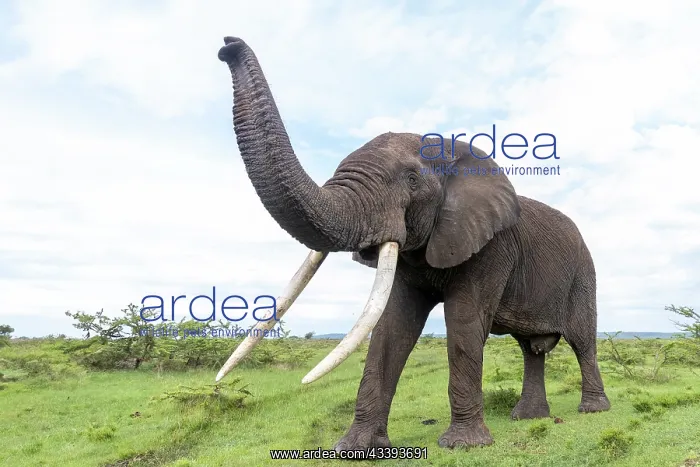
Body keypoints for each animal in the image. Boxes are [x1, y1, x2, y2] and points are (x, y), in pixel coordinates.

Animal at [214, 36, 611, 451]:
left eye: (411, 180)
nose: (228, 46)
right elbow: (393, 326)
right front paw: (356, 448)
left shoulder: (492, 247)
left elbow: (463, 321)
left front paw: (464, 445)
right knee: (531, 348)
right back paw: (529, 418)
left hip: (583, 274)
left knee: (582, 340)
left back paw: (592, 410)